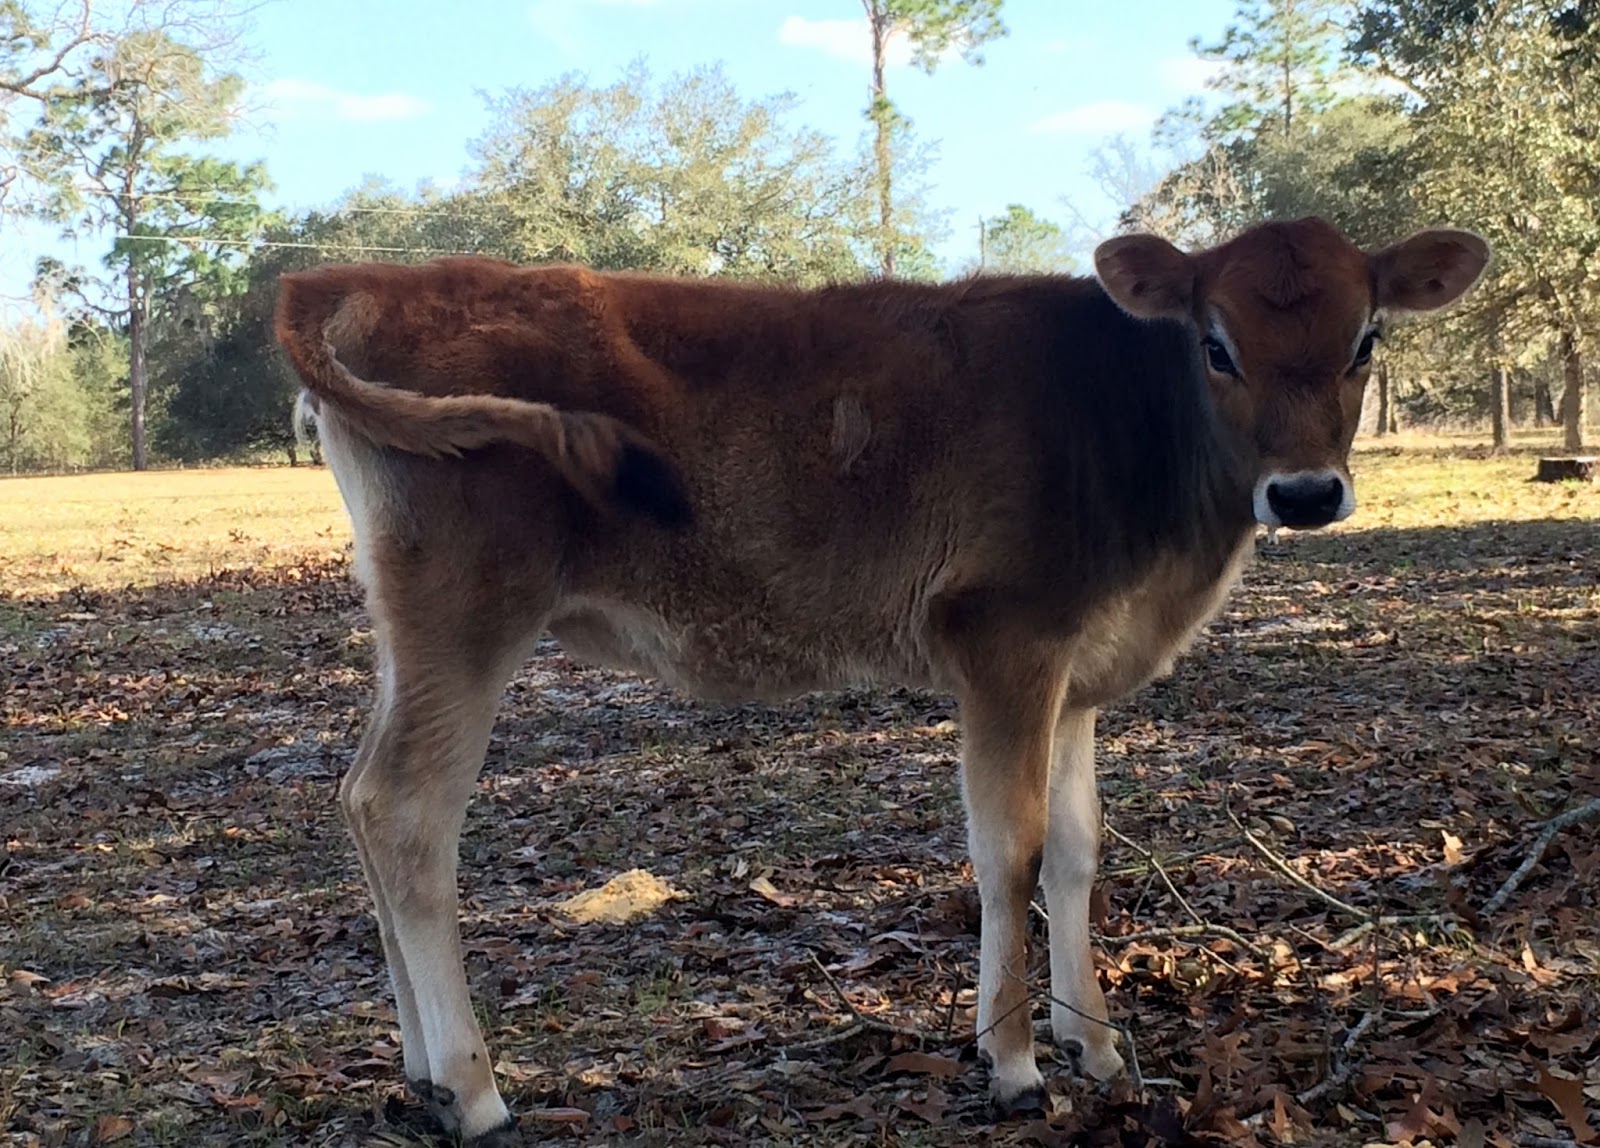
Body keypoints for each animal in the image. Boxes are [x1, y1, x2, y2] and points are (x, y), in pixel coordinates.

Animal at [273, 217, 1488, 1145]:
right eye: (1216, 344)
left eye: (1366, 336)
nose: (1306, 492)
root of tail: (355, 277)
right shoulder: (1003, 640)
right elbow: (1008, 850)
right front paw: (1013, 1061)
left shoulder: (1078, 674)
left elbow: (1079, 850)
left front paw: (1092, 1039)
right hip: (468, 606)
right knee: (407, 812)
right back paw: (475, 1090)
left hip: (409, 625)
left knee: (358, 800)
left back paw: (423, 1073)